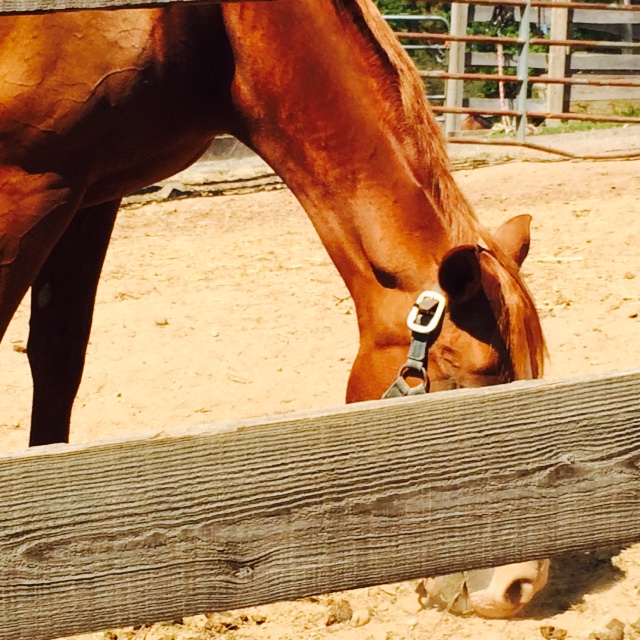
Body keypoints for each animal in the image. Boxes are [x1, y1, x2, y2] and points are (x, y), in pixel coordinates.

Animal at [1, 0, 544, 616]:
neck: (220, 28)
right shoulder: (29, 187)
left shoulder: (93, 191)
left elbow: (57, 362)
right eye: (462, 382)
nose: (518, 586)